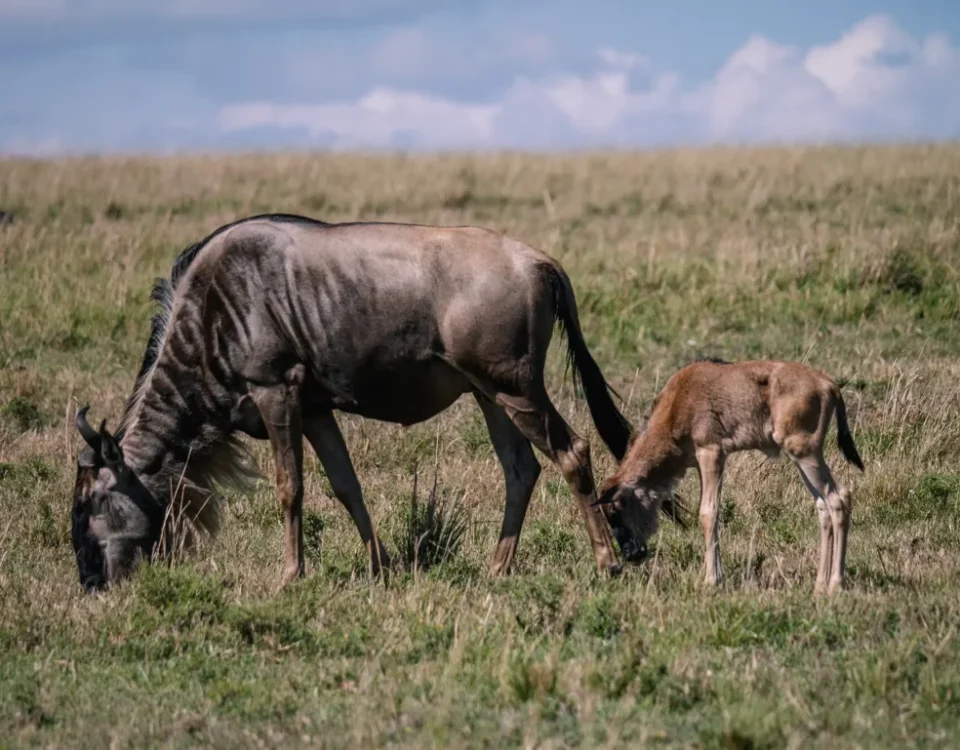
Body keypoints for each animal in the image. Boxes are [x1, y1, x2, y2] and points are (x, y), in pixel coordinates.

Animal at [70, 213, 677, 591]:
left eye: (92, 504)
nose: (90, 583)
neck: (213, 311)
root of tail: (540, 261)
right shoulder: (315, 408)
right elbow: (345, 486)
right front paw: (380, 567)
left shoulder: (275, 391)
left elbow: (290, 488)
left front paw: (289, 576)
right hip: (489, 395)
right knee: (521, 469)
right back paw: (496, 568)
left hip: (516, 389)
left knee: (572, 452)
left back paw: (606, 563)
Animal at [595, 358, 864, 594]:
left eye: (615, 509)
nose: (630, 554)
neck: (678, 401)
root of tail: (828, 384)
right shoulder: (702, 462)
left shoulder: (712, 453)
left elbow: (708, 513)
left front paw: (711, 581)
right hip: (801, 457)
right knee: (822, 505)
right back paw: (819, 586)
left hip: (804, 452)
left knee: (839, 498)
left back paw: (835, 585)